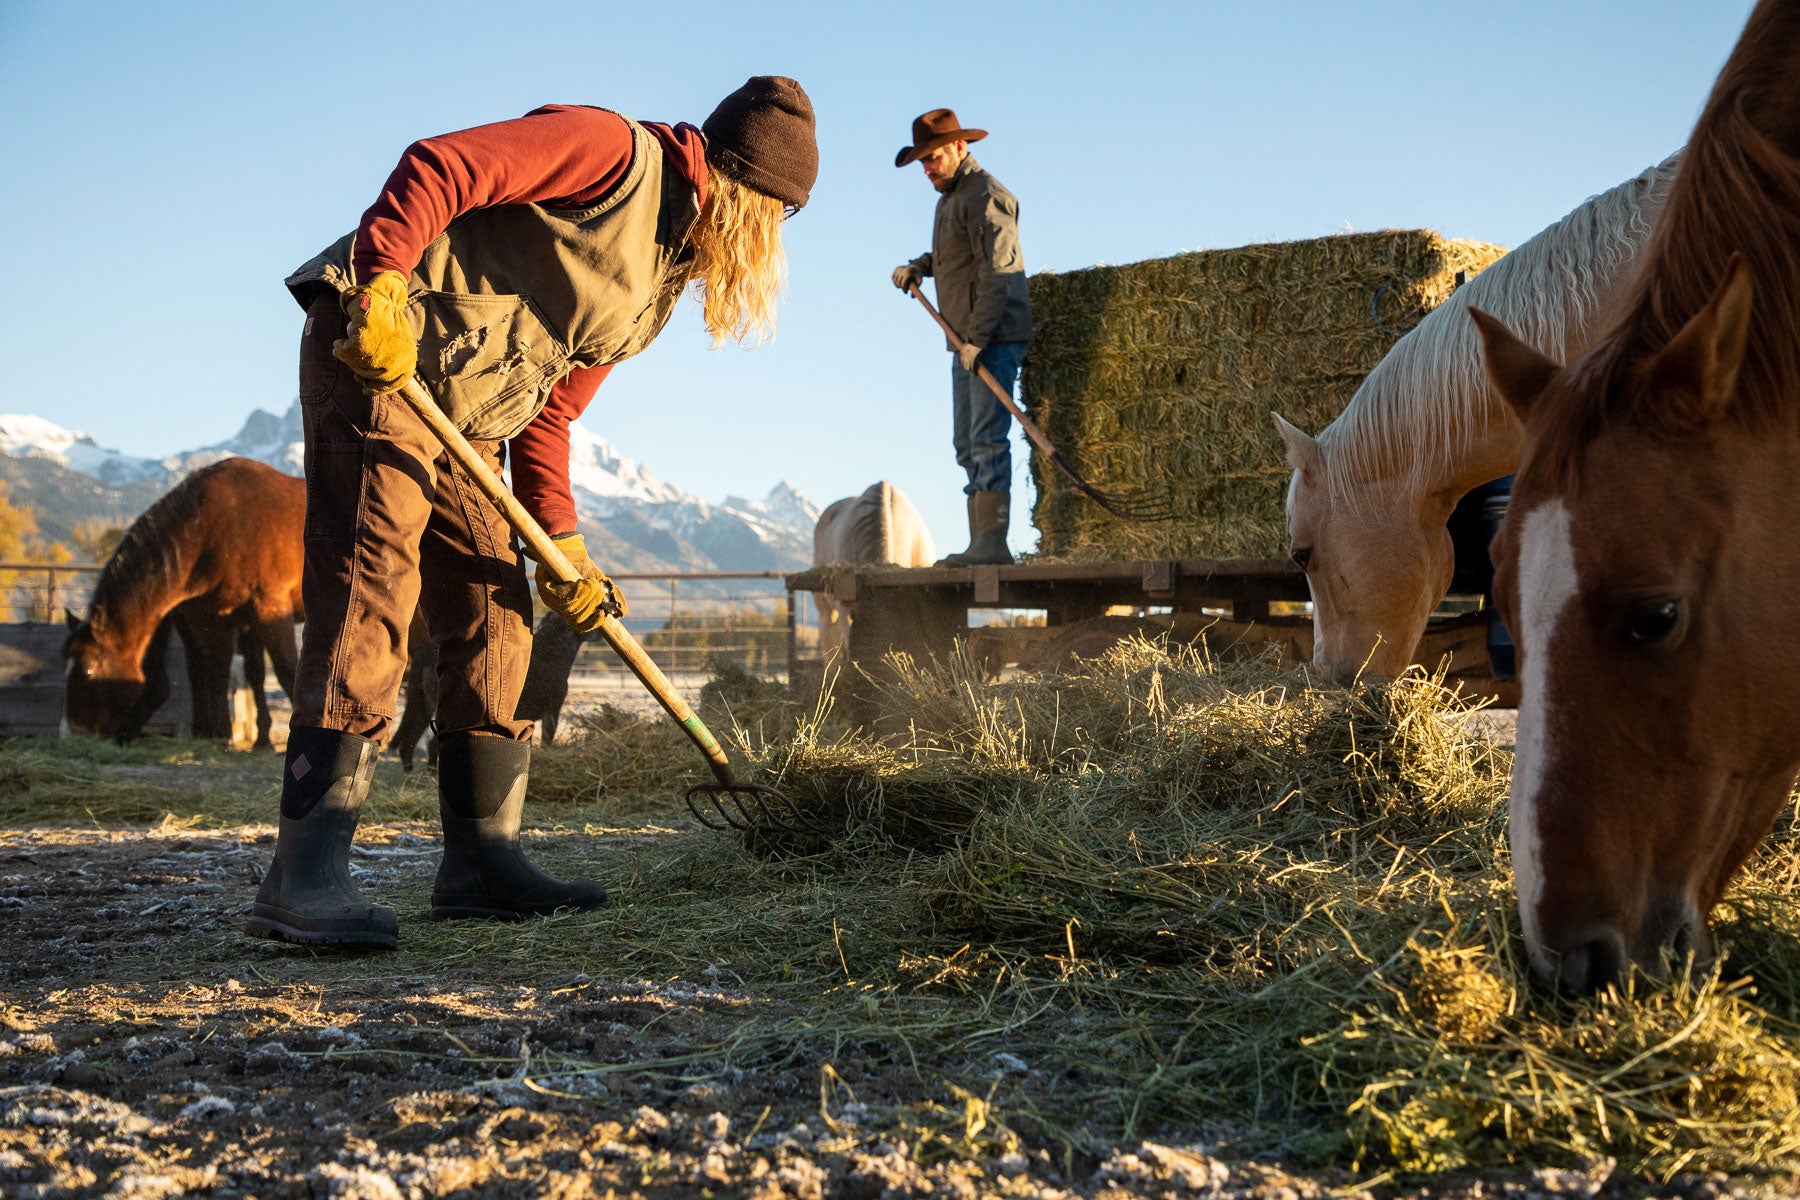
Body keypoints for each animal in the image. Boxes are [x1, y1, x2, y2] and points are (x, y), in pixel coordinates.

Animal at [65, 456, 304, 744]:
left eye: (88, 672)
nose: (75, 732)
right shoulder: (210, 616)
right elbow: (214, 670)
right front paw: (218, 734)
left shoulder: (269, 608)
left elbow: (286, 669)